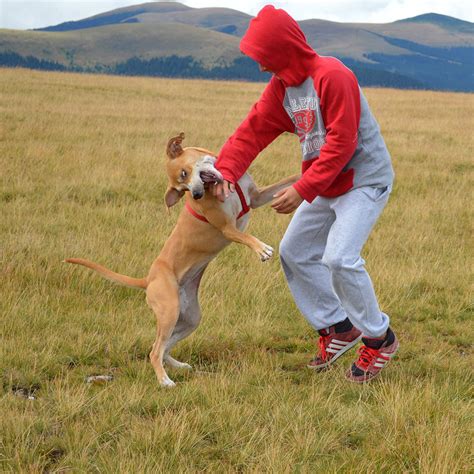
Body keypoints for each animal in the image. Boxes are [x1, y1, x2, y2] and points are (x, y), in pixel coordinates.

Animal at [65, 131, 298, 386]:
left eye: (184, 176)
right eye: (183, 188)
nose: (196, 194)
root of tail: (148, 279)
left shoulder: (256, 197)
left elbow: (287, 181)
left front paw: (303, 174)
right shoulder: (227, 228)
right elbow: (244, 236)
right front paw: (261, 249)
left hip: (189, 318)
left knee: (164, 347)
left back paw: (178, 366)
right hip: (168, 312)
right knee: (155, 350)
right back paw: (164, 381)